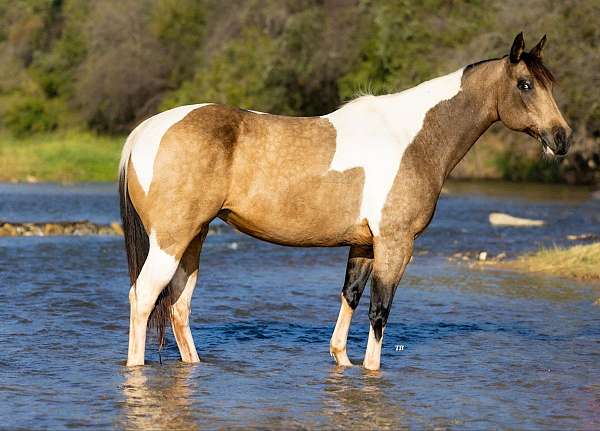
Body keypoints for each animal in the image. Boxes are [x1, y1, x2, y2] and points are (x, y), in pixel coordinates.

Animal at [118, 33, 572, 372]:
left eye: (550, 83)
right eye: (525, 84)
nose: (562, 138)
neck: (413, 139)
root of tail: (146, 130)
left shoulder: (364, 245)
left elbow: (350, 298)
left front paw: (343, 361)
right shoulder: (395, 243)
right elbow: (379, 310)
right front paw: (371, 372)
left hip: (193, 239)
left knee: (178, 306)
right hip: (171, 240)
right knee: (144, 297)